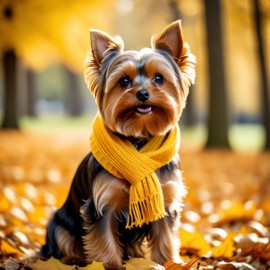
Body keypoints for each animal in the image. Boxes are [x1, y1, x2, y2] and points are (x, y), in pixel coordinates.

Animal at [40, 20, 195, 268]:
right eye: (123, 81)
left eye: (159, 78)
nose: (142, 93)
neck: (139, 142)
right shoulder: (101, 206)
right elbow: (105, 242)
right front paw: (110, 265)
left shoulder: (164, 200)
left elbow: (165, 237)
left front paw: (167, 262)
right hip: (58, 223)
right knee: (62, 240)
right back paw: (73, 257)